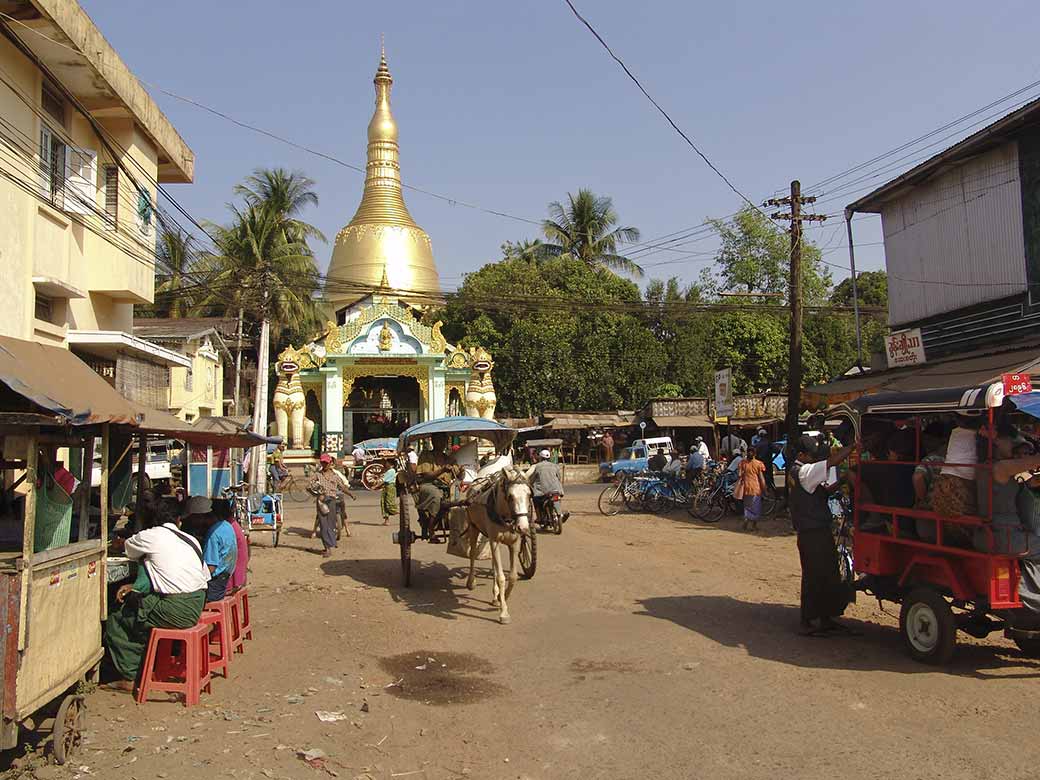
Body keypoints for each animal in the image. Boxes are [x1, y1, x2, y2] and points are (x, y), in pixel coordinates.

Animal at [463, 467, 532, 628]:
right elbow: (501, 577)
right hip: (474, 527)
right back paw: (471, 582)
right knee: (473, 554)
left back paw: (495, 596)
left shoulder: (514, 543)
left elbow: (512, 577)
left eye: (529, 494)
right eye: (510, 496)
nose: (524, 528)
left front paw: (502, 596)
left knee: (494, 563)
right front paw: (504, 612)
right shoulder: (494, 540)